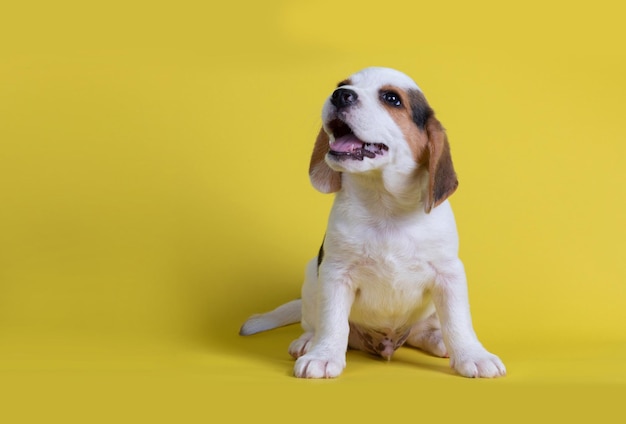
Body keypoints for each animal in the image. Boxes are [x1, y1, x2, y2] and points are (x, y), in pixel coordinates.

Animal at [236, 68, 504, 380]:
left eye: (392, 99)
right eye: (342, 85)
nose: (340, 95)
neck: (384, 205)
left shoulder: (449, 274)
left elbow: (458, 321)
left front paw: (473, 354)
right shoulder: (335, 273)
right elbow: (333, 322)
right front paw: (323, 355)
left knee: (422, 331)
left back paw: (437, 339)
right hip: (312, 275)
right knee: (314, 322)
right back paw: (307, 342)